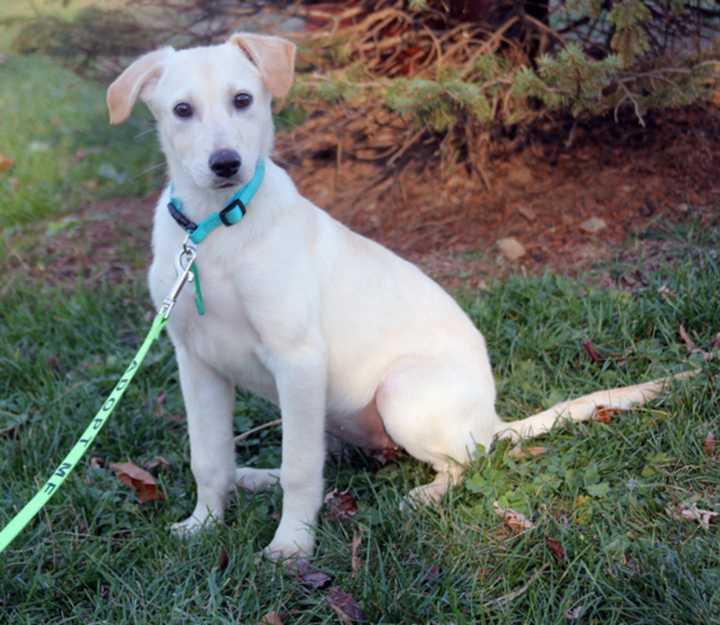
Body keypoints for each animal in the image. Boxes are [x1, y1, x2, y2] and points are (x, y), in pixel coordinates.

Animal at [107, 31, 688, 560]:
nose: (226, 164)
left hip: (400, 393)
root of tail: (491, 422)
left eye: (243, 100)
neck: (215, 232)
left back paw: (425, 495)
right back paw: (254, 477)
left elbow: (301, 469)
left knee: (459, 462)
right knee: (326, 457)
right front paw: (204, 523)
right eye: (182, 110)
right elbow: (209, 458)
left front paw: (293, 544)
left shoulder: (297, 359)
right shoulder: (196, 362)